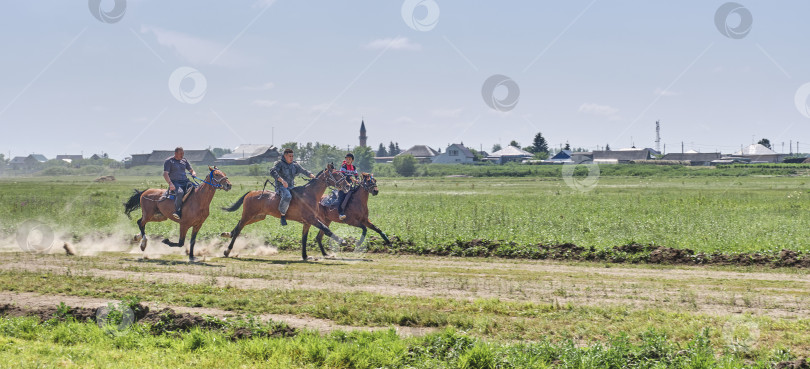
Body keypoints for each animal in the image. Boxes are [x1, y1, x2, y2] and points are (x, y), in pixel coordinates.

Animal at [219, 162, 348, 260]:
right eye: (336, 174)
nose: (347, 185)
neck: (310, 194)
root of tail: (251, 192)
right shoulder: (311, 219)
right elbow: (326, 229)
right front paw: (342, 241)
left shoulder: (307, 222)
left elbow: (304, 238)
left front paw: (305, 256)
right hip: (248, 215)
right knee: (239, 229)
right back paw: (227, 251)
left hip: (257, 217)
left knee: (239, 225)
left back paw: (227, 234)